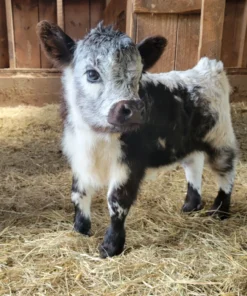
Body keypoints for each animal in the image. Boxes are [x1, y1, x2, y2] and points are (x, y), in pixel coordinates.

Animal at [37, 21, 238, 256]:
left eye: (140, 75)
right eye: (92, 74)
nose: (133, 109)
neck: (96, 138)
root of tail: (207, 68)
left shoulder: (129, 164)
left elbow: (117, 202)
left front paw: (111, 246)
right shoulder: (78, 158)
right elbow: (78, 194)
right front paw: (80, 229)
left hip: (221, 138)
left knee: (226, 172)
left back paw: (219, 211)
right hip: (189, 142)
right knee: (193, 164)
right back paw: (191, 205)